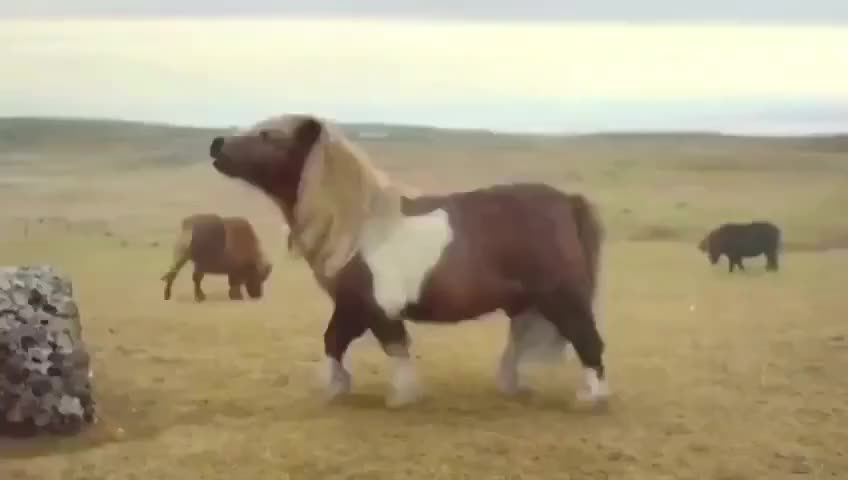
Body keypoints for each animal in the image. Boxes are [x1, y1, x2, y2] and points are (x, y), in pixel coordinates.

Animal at [210, 113, 608, 408]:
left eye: (268, 135)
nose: (216, 145)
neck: (359, 223)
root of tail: (567, 201)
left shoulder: (375, 307)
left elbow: (393, 346)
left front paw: (401, 396)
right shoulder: (350, 305)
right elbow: (333, 340)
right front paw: (337, 387)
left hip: (562, 299)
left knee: (588, 341)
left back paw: (591, 397)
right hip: (527, 304)